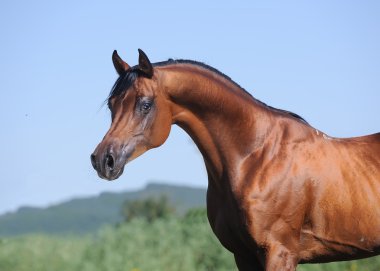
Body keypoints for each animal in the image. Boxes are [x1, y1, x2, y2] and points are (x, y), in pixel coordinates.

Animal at [91, 49, 380, 271]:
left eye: (145, 104)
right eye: (112, 104)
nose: (104, 160)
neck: (255, 158)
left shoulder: (280, 253)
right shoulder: (244, 255)